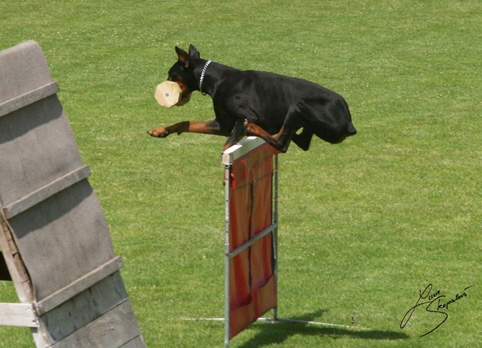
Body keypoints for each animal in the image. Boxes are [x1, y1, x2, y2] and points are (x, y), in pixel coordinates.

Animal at [149, 44, 356, 152]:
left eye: (171, 76)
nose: (163, 90)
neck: (216, 79)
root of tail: (349, 123)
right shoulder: (223, 125)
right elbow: (186, 123)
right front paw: (160, 130)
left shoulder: (244, 117)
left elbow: (227, 146)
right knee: (298, 141)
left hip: (299, 105)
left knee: (281, 143)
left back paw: (255, 129)